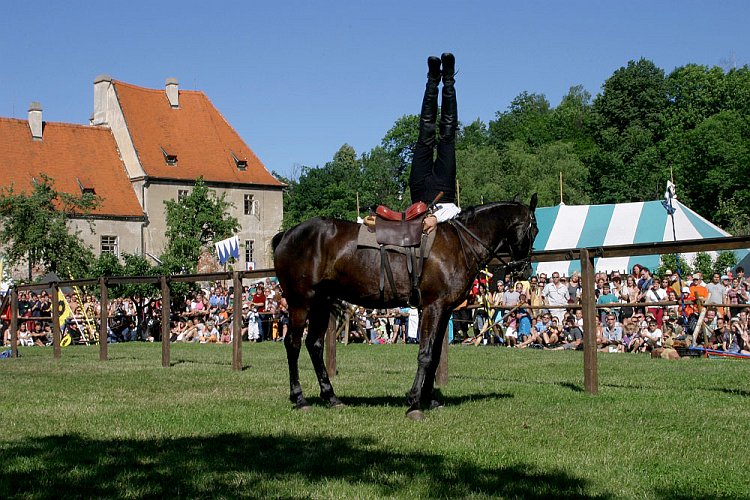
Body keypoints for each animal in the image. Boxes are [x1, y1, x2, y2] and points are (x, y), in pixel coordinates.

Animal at [274, 193, 536, 420]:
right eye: (533, 230)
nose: (523, 270)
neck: (458, 243)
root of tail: (286, 235)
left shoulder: (444, 311)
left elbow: (435, 354)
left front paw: (429, 399)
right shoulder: (433, 307)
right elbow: (426, 354)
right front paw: (414, 402)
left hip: (321, 302)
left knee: (314, 344)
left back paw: (331, 397)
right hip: (300, 303)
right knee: (293, 344)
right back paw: (299, 398)